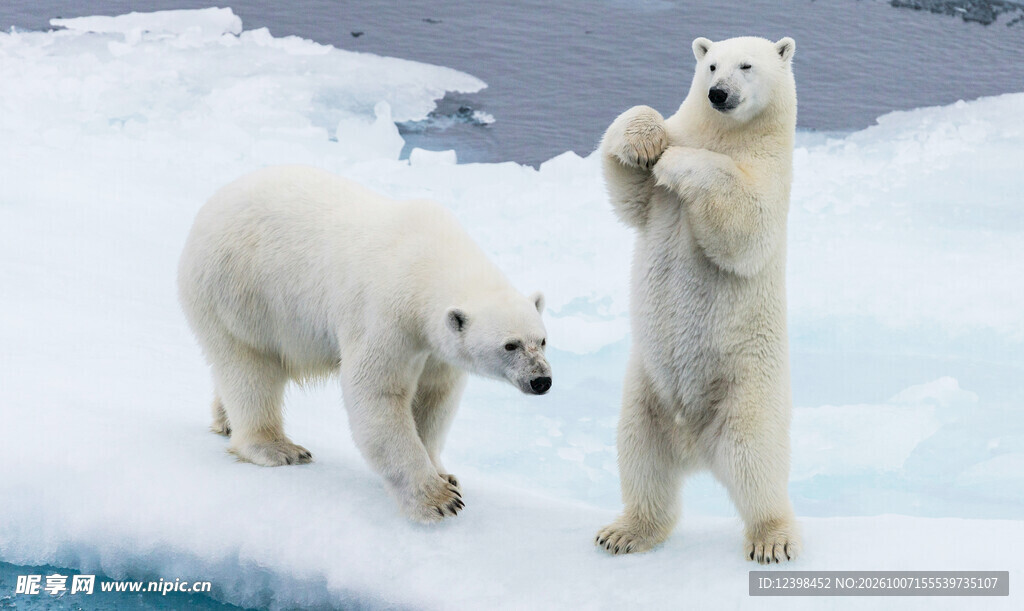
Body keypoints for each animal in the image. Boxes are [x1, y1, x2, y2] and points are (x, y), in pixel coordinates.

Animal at [177, 165, 552, 523]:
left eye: (542, 341)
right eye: (510, 345)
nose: (542, 381)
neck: (428, 260)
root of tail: (208, 209)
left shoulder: (434, 345)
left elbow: (434, 397)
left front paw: (445, 474)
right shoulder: (387, 314)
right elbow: (377, 392)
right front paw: (437, 499)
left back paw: (224, 420)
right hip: (239, 291)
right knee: (250, 367)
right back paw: (278, 448)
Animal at [594, 36, 800, 563]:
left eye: (746, 66)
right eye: (710, 65)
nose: (718, 94)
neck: (728, 134)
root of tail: (695, 447)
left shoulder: (771, 175)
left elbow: (744, 225)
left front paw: (675, 161)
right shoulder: (653, 200)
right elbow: (627, 190)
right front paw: (646, 143)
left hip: (748, 390)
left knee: (756, 465)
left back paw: (772, 539)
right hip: (646, 391)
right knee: (641, 457)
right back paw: (625, 532)